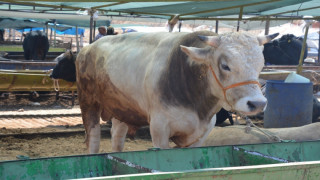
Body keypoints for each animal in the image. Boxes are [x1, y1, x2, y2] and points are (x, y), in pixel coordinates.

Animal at [75, 31, 278, 153]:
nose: (258, 103)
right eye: (225, 65)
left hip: (122, 109)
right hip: (88, 103)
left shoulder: (202, 133)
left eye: (261, 64)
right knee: (93, 141)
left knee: (117, 137)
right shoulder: (159, 128)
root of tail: (88, 48)